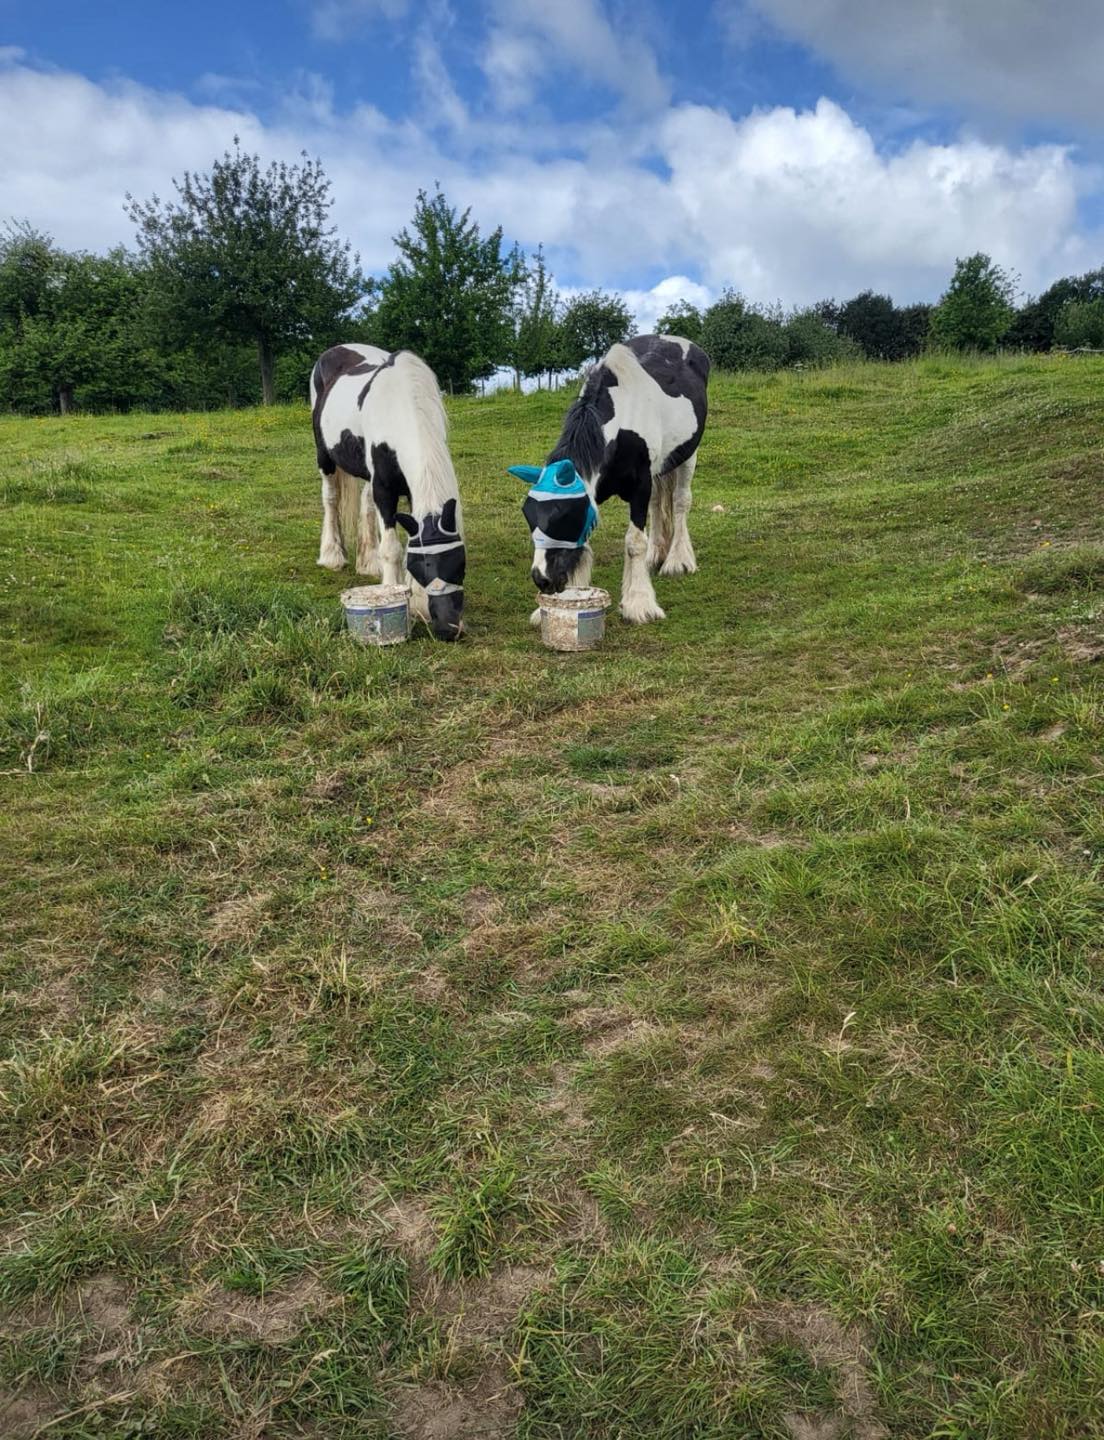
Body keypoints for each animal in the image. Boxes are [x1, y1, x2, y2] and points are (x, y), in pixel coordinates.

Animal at [311, 343, 466, 641]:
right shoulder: (384, 488)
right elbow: (392, 548)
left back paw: (367, 562)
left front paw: (416, 600)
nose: (449, 629)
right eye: (425, 566)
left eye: (458, 563)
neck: (401, 406)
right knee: (331, 500)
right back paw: (332, 555)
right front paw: (393, 592)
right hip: (325, 456)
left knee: (365, 504)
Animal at [507, 334, 709, 624]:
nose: (543, 580)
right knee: (659, 504)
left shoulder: (640, 486)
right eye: (529, 516)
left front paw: (639, 603)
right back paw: (656, 555)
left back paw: (678, 560)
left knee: (681, 501)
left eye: (563, 515)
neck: (622, 421)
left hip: (688, 455)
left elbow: (634, 542)